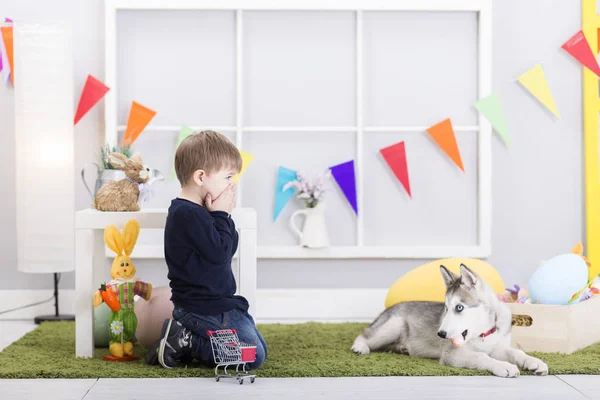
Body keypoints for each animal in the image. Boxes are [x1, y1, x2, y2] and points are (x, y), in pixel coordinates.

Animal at [352, 264, 548, 376]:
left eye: (459, 307)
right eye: (446, 308)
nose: (440, 334)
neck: (482, 333)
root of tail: (388, 309)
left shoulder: (497, 347)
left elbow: (516, 353)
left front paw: (534, 362)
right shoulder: (452, 354)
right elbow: (481, 356)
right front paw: (504, 366)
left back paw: (402, 348)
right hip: (393, 325)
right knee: (365, 334)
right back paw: (360, 347)